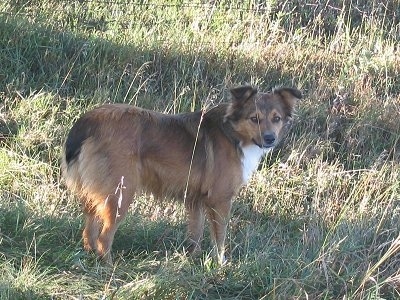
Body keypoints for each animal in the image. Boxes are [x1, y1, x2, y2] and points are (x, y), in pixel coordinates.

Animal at [61, 85, 300, 264]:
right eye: (254, 119)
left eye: (276, 118)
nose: (270, 139)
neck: (233, 133)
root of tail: (88, 120)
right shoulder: (220, 200)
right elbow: (220, 238)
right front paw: (220, 265)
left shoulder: (195, 200)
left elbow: (196, 233)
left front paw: (193, 260)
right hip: (121, 194)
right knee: (104, 237)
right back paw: (110, 268)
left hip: (97, 194)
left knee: (89, 232)